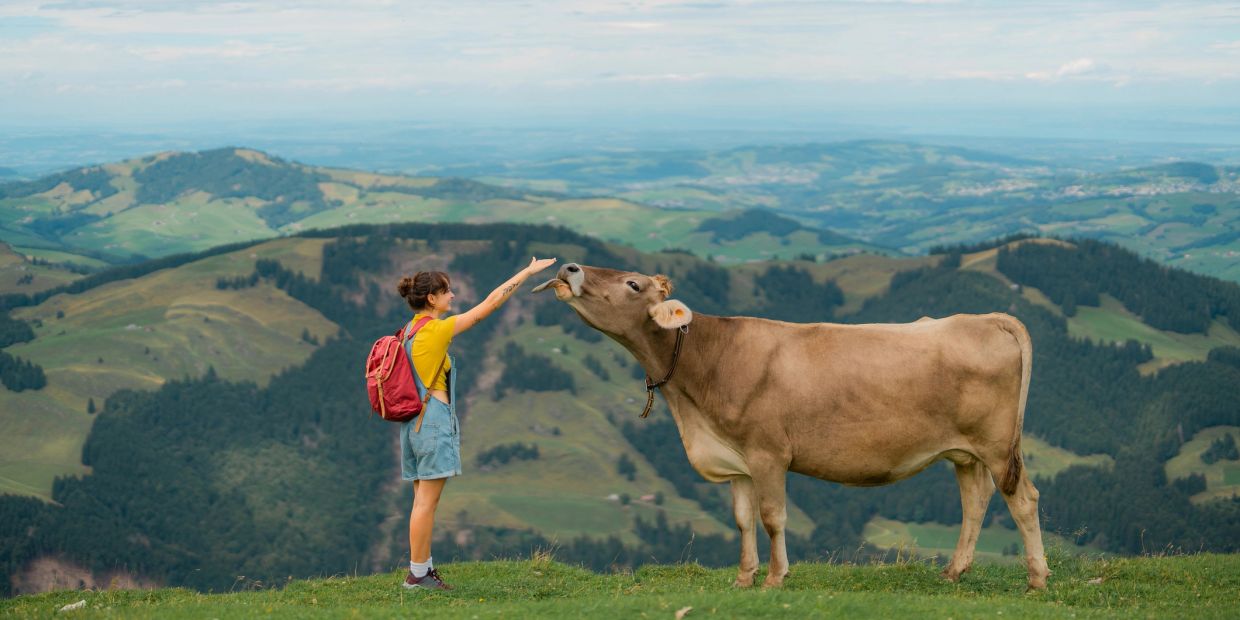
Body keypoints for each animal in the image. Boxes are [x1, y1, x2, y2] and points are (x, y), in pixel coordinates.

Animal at [533, 263, 1050, 590]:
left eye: (633, 283)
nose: (571, 267)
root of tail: (987, 318)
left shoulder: (768, 454)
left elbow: (771, 517)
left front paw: (775, 578)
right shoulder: (736, 459)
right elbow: (742, 519)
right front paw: (743, 578)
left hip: (997, 445)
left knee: (1022, 498)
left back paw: (1037, 579)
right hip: (964, 451)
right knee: (975, 500)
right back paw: (954, 571)